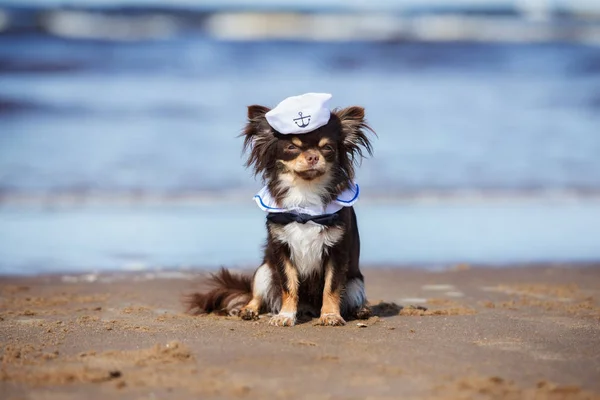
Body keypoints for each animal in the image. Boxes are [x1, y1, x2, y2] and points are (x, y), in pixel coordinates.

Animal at [188, 94, 376, 328]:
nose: (313, 156)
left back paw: (361, 310)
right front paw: (285, 316)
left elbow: (331, 287)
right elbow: (289, 285)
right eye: (291, 148)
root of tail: (308, 309)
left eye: (328, 148)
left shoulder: (337, 251)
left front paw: (331, 315)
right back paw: (247, 310)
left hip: (355, 281)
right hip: (264, 271)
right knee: (257, 295)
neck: (305, 197)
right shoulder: (282, 251)